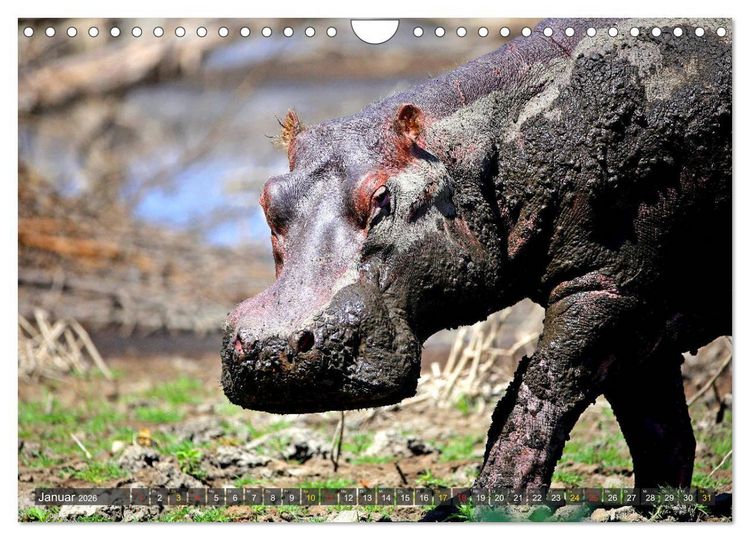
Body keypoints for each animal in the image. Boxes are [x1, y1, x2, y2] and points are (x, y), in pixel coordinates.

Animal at [221, 18, 731, 491]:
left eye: (382, 196)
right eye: (268, 197)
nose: (270, 344)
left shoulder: (608, 286)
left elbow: (542, 390)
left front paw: (489, 500)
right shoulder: (642, 304)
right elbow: (659, 428)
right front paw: (661, 504)